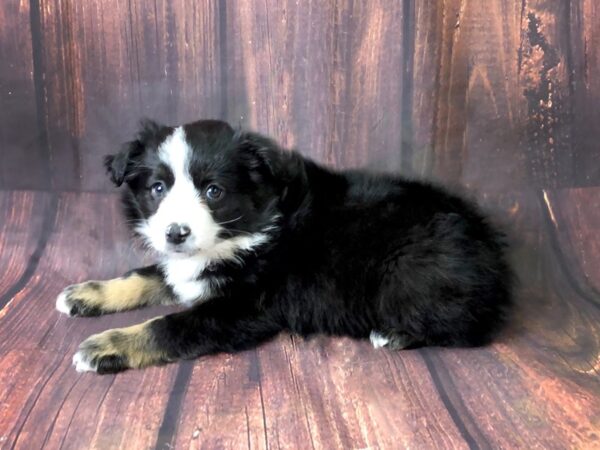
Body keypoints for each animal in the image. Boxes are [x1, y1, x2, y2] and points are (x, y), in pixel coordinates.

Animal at [56, 118, 512, 372]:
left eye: (214, 191)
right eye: (157, 188)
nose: (176, 233)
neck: (244, 228)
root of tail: (491, 249)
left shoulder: (245, 307)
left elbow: (170, 325)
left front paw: (103, 346)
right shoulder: (188, 266)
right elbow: (146, 275)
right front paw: (84, 294)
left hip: (410, 272)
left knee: (467, 326)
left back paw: (394, 335)